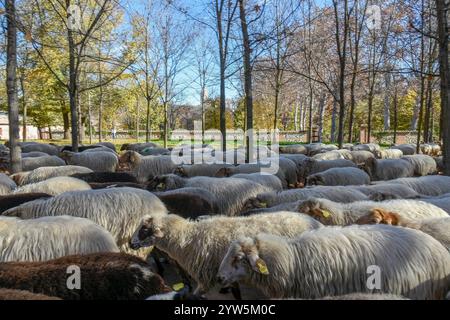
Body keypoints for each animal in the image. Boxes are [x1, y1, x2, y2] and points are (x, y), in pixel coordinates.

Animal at [130, 210, 324, 296]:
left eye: (145, 229)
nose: (131, 244)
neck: (189, 238)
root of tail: (315, 221)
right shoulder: (228, 273)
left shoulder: (207, 276)